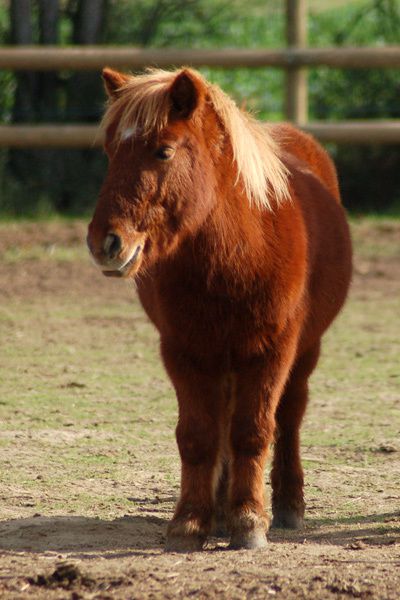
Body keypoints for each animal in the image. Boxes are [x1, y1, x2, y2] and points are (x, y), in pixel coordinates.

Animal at [86, 67, 350, 552]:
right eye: (112, 151)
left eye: (163, 150)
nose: (104, 243)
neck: (236, 254)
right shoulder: (184, 351)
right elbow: (198, 435)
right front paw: (191, 522)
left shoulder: (271, 351)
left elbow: (253, 431)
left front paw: (249, 521)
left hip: (304, 352)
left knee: (290, 416)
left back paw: (286, 506)